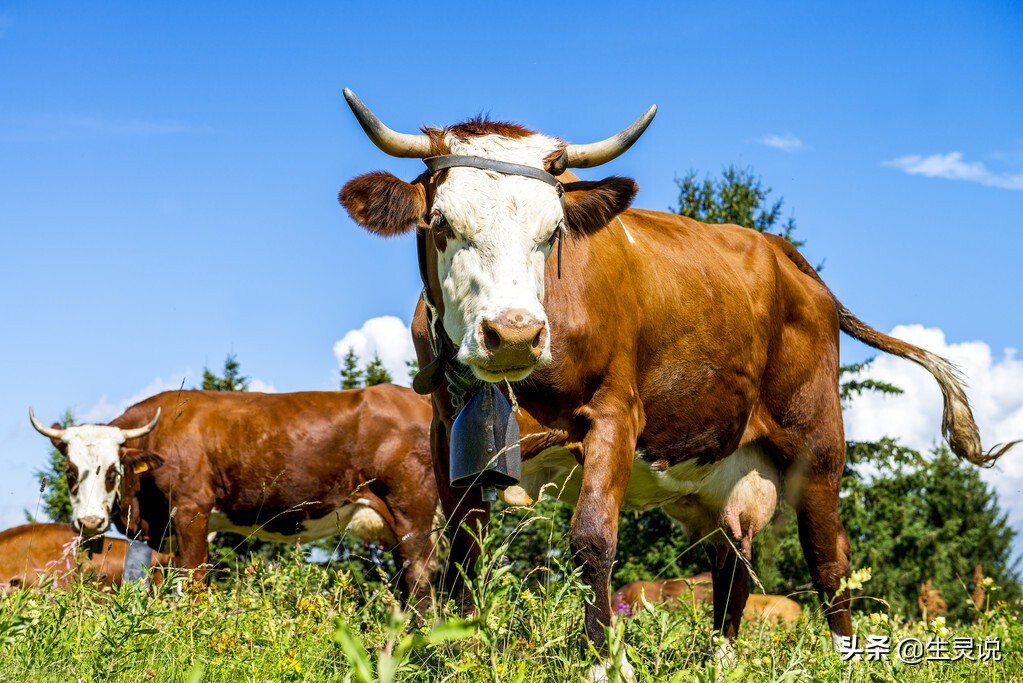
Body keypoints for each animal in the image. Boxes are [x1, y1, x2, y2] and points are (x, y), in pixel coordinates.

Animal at [29, 384, 437, 609]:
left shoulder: (192, 510)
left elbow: (194, 582)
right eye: (70, 472)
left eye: (113, 471)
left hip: (412, 511)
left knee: (420, 576)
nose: (90, 522)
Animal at [339, 92, 1018, 678]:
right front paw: (457, 654)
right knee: (733, 568)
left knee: (829, 561)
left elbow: (592, 540)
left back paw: (847, 661)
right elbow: (460, 553)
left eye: (553, 232)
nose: (513, 333)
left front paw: (603, 663)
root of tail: (784, 255)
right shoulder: (445, 432)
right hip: (721, 479)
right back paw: (721, 662)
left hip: (818, 445)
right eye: (441, 223)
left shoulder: (616, 414)